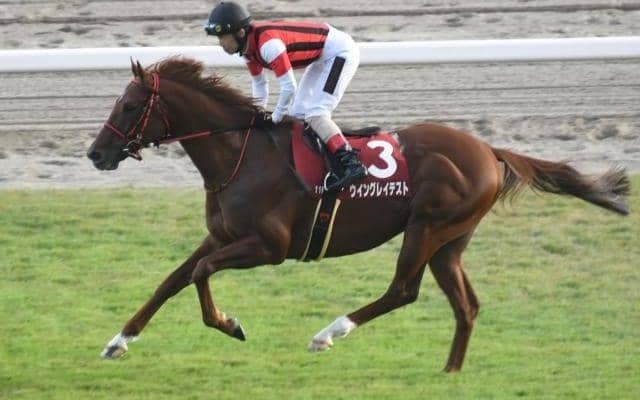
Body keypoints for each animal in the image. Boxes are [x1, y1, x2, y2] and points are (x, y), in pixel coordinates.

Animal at [86, 57, 630, 372]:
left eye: (130, 105)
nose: (95, 154)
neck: (238, 154)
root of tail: (487, 148)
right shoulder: (222, 236)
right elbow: (172, 279)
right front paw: (117, 341)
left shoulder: (268, 247)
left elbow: (199, 273)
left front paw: (229, 323)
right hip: (450, 241)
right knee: (466, 305)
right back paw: (449, 374)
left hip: (426, 228)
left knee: (403, 291)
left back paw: (328, 334)